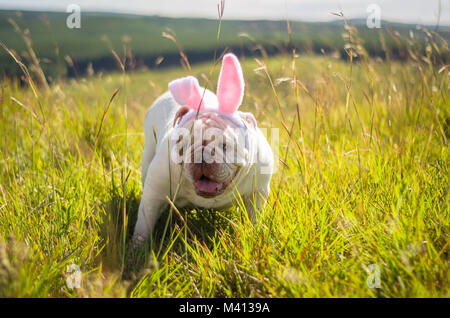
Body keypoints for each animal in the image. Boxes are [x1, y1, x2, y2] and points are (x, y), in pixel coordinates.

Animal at [132, 53, 272, 246]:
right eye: (184, 144)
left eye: (225, 146)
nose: (202, 155)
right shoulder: (154, 192)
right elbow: (144, 223)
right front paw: (137, 247)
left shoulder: (256, 192)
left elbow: (253, 218)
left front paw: (252, 236)